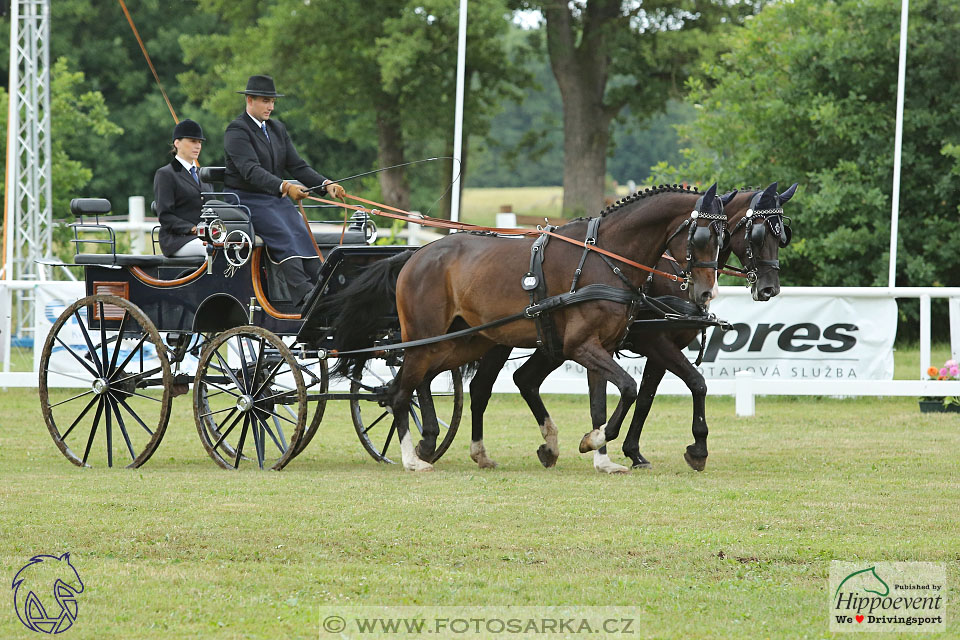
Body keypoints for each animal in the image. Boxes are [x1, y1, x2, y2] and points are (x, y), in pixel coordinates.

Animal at [320, 182, 728, 468]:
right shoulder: (581, 345)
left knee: (426, 382)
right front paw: (596, 441)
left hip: (462, 341)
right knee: (401, 391)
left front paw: (603, 453)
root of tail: (414, 254)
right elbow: (628, 388)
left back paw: (433, 443)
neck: (606, 257)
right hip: (425, 337)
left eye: (723, 238)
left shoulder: (603, 345)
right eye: (701, 237)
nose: (706, 292)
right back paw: (411, 457)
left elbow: (608, 398)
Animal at [464, 182, 796, 472]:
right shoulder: (655, 342)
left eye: (782, 236)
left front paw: (634, 452)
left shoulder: (657, 349)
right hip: (500, 340)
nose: (770, 288)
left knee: (525, 379)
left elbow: (652, 395)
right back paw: (477, 451)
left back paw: (548, 448)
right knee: (481, 388)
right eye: (757, 234)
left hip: (550, 343)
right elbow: (692, 383)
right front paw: (690, 449)